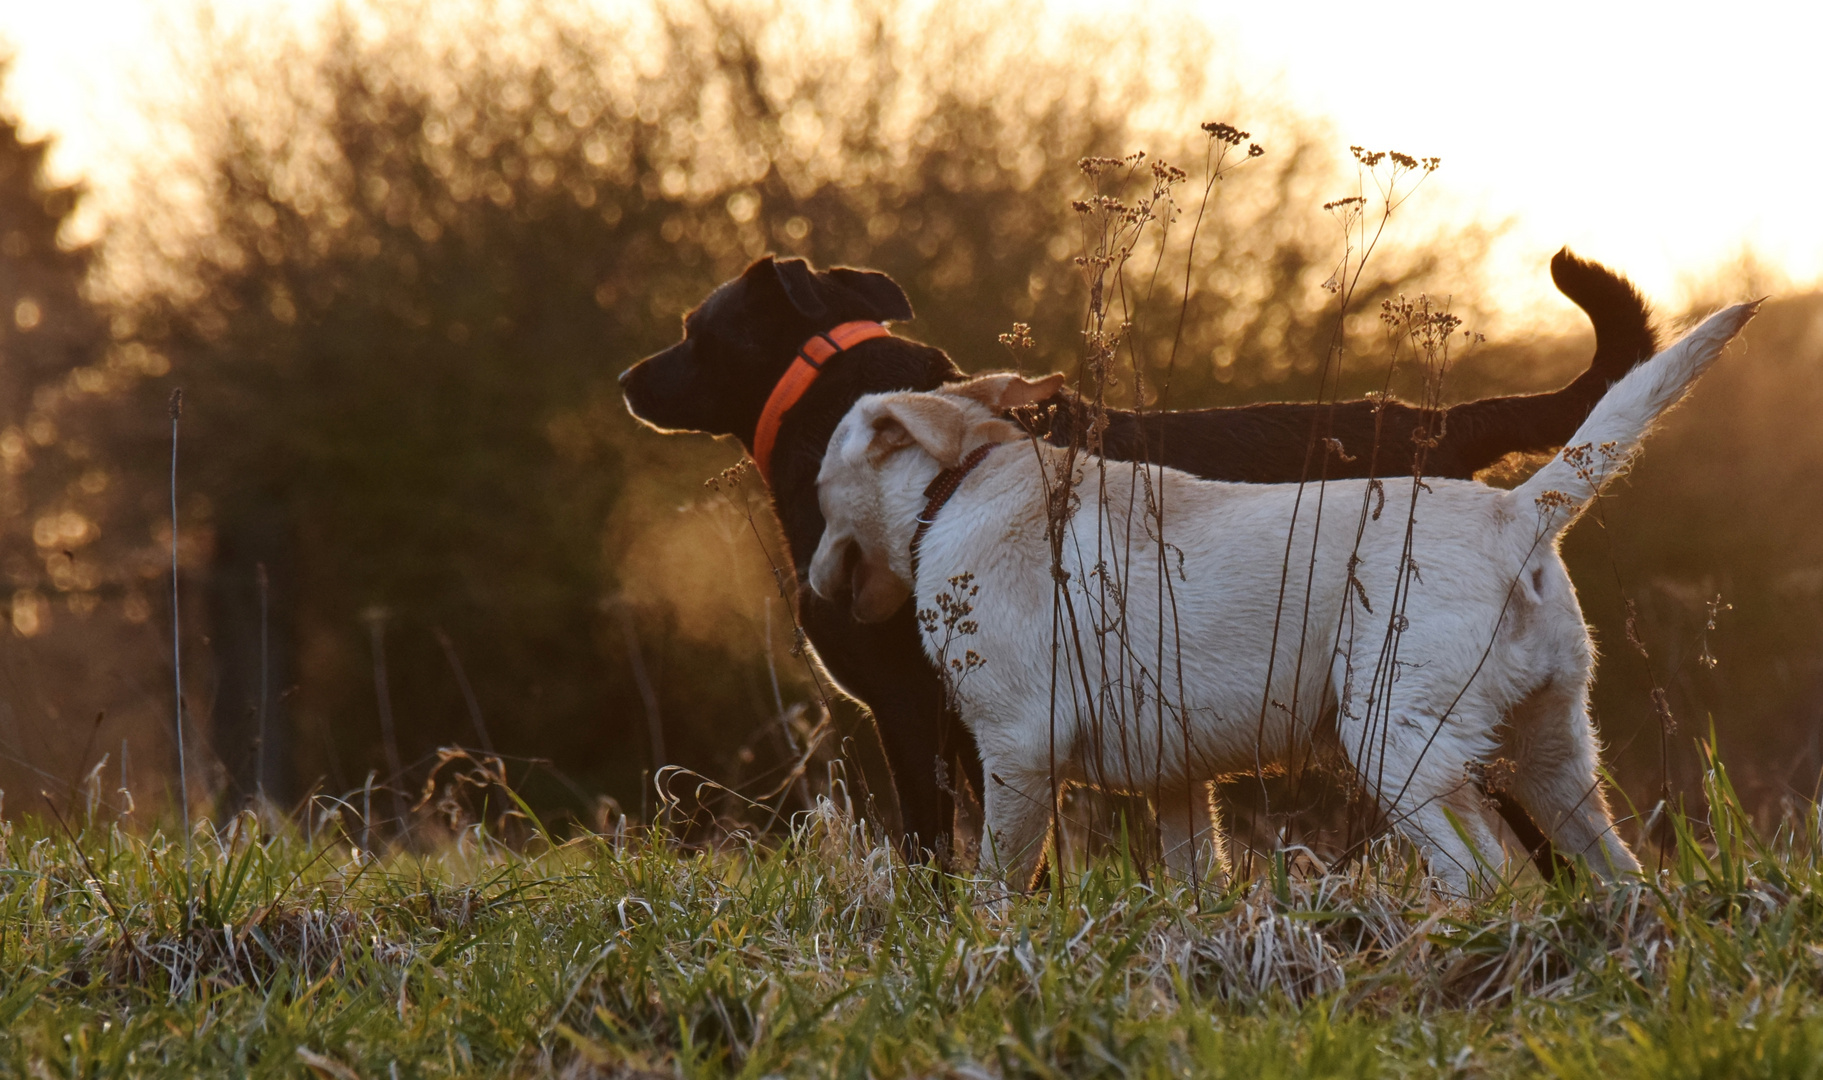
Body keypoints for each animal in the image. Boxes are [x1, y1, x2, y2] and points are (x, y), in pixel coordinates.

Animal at [809, 302, 1750, 893]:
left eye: (819, 489)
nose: (812, 584)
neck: (953, 488)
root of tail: (1515, 511)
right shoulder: (1177, 783)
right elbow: (1194, 880)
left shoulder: (1014, 751)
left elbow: (999, 883)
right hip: (1553, 762)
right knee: (1618, 881)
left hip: (1396, 746)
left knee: (1489, 880)